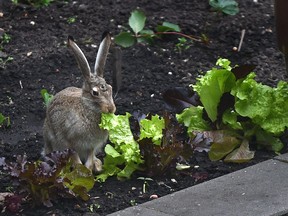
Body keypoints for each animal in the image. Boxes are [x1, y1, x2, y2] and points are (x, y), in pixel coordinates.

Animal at [42, 32, 115, 172]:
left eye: (110, 88)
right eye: (95, 93)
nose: (111, 109)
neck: (87, 108)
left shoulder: (92, 145)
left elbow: (90, 156)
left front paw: (89, 169)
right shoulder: (70, 141)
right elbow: (75, 157)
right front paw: (81, 171)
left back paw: (98, 165)